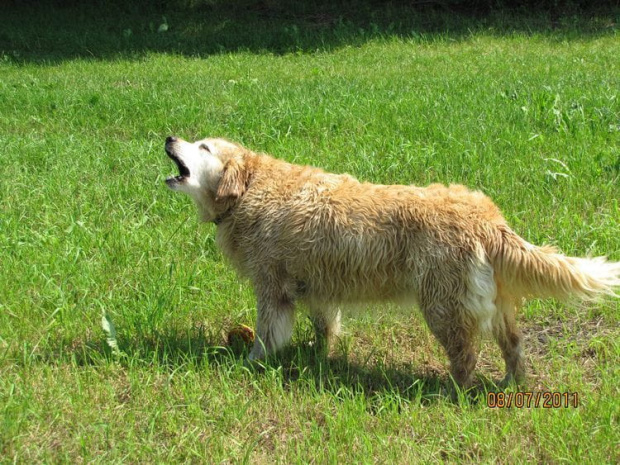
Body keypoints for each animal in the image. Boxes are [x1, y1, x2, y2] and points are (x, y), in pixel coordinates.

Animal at [165, 136, 620, 386]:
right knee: (514, 346)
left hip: (443, 306)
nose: (169, 138)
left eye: (204, 146)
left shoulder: (272, 287)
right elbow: (325, 327)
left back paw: (452, 392)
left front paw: (251, 364)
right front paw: (319, 355)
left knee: (466, 357)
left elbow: (265, 336)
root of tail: (488, 219)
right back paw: (510, 382)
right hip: (494, 307)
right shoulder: (317, 287)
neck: (250, 190)